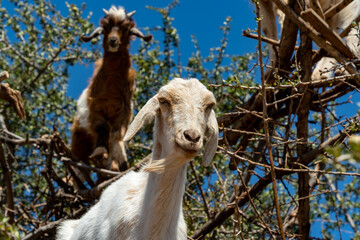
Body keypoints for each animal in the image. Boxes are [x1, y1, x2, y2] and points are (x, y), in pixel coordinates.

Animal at [71, 6, 152, 172]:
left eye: (126, 29)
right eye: (105, 28)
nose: (112, 40)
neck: (111, 89)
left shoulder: (123, 111)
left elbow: (117, 134)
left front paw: (119, 162)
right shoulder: (95, 108)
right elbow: (102, 127)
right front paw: (101, 151)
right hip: (79, 141)